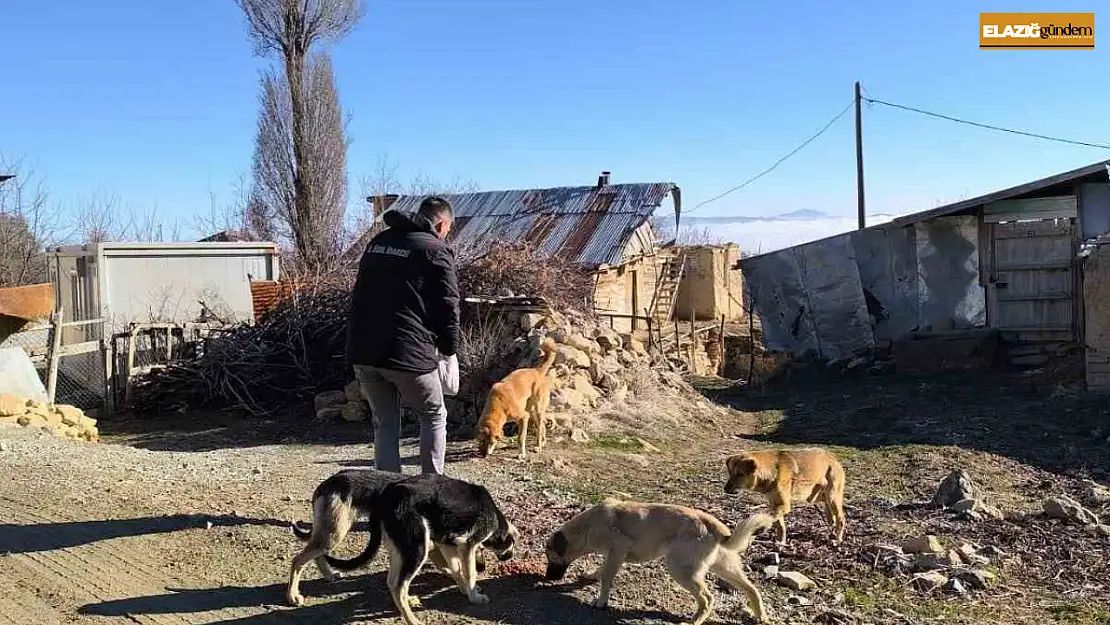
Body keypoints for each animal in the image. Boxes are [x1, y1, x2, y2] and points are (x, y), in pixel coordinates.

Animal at [543, 499, 772, 625]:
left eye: (551, 559)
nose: (547, 578)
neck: (587, 526)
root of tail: (713, 525)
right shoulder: (613, 555)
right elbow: (602, 570)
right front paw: (591, 576)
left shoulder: (618, 548)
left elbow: (607, 578)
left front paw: (601, 602)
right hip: (724, 567)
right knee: (751, 588)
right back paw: (760, 615)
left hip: (680, 569)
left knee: (707, 599)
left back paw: (694, 622)